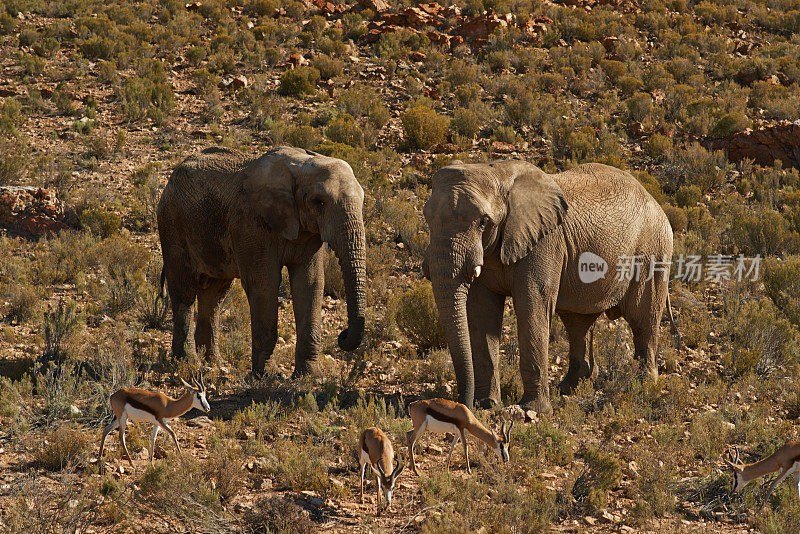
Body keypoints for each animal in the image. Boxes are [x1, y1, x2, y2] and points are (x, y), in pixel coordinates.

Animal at [155, 147, 366, 376]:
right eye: (320, 202)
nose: (342, 335)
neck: (301, 165)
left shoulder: (308, 231)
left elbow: (310, 284)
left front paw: (311, 377)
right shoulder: (251, 225)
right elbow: (264, 284)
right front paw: (268, 376)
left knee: (215, 295)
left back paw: (215, 364)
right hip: (171, 224)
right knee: (184, 291)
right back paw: (188, 363)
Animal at [422, 159, 680, 414]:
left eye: (483, 222)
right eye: (427, 218)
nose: (463, 405)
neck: (497, 172)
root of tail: (655, 201)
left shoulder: (544, 243)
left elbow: (531, 307)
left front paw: (534, 409)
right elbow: (482, 313)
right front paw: (487, 404)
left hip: (652, 252)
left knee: (642, 319)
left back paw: (644, 387)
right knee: (578, 322)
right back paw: (571, 389)